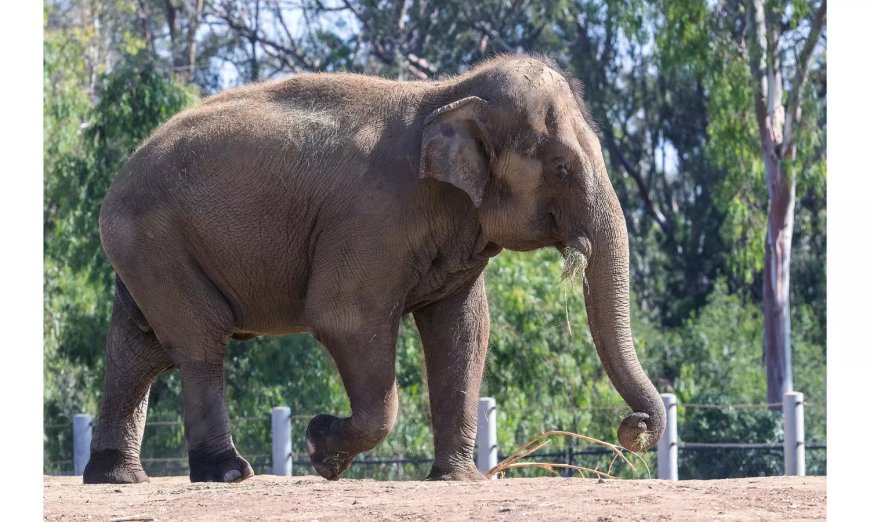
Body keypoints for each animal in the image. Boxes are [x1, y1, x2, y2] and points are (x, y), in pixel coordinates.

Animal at [83, 54, 668, 482]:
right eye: (562, 166)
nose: (634, 427)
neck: (445, 93)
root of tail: (116, 178)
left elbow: (463, 330)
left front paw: (458, 481)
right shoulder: (370, 221)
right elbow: (344, 318)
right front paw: (321, 449)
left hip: (147, 250)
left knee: (140, 346)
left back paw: (117, 478)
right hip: (155, 239)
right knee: (200, 341)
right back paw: (228, 474)